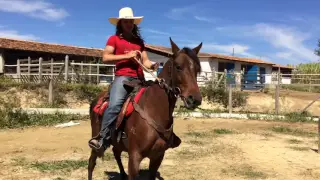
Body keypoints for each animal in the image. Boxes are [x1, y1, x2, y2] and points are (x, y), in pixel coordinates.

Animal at [87, 37, 202, 179]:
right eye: (178, 67)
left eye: (197, 69)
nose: (195, 99)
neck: (154, 110)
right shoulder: (134, 158)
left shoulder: (158, 156)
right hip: (96, 141)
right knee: (91, 163)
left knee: (116, 152)